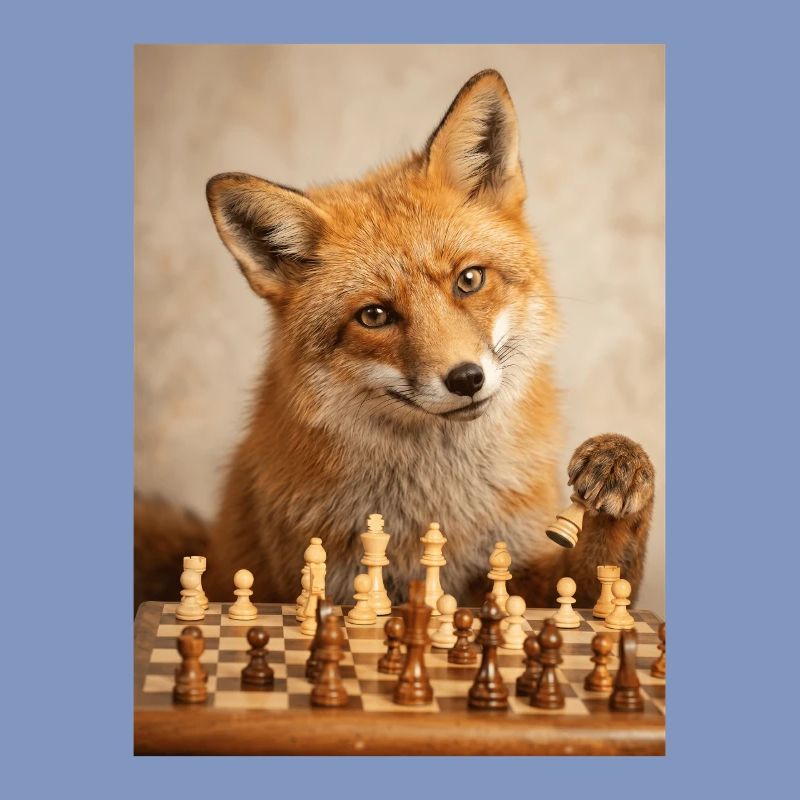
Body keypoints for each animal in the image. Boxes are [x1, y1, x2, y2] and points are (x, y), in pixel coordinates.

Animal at [134, 69, 655, 611]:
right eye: (375, 315)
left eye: (469, 280)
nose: (466, 379)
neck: (436, 505)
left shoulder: (517, 573)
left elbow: (602, 581)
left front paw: (619, 465)